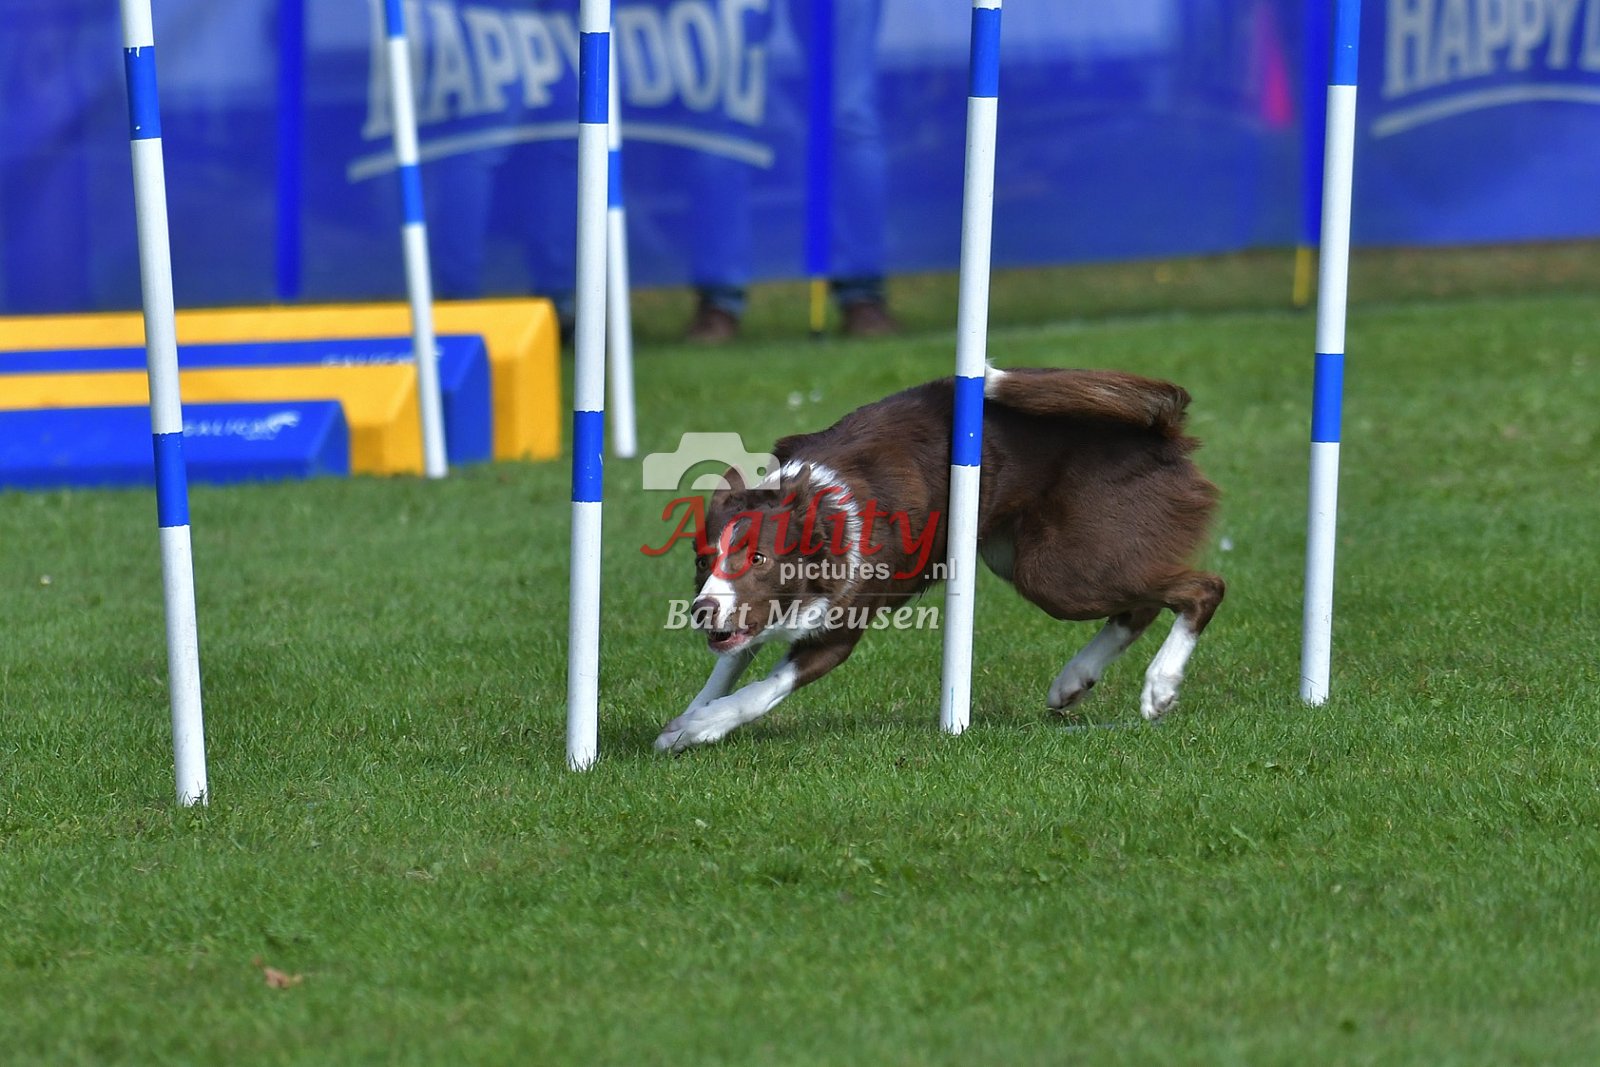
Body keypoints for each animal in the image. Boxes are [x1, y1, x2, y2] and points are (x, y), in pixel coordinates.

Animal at [655, 365, 1224, 753]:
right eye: (703, 560)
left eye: (757, 557)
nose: (701, 611)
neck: (822, 517)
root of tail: (1162, 427)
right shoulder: (752, 617)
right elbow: (727, 665)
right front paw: (684, 723)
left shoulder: (838, 631)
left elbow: (764, 689)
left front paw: (703, 726)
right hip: (1020, 555)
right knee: (1141, 604)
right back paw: (1073, 681)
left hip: (1058, 570)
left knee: (1202, 587)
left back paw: (1159, 685)